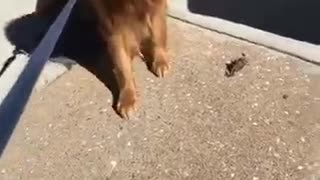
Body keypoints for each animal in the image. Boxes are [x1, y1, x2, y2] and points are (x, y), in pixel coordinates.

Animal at [33, 0, 170, 119]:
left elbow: (157, 36)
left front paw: (160, 61)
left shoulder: (155, 9)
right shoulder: (112, 25)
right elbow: (122, 66)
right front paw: (127, 99)